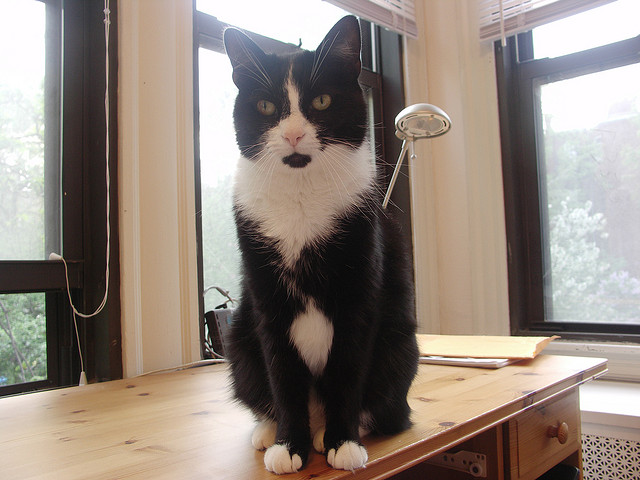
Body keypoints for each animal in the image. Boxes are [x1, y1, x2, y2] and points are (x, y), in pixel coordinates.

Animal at [222, 15, 419, 474]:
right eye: (265, 107)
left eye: (323, 100)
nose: (294, 134)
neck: (300, 194)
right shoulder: (266, 300)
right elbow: (283, 373)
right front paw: (288, 444)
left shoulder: (359, 294)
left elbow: (346, 370)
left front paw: (342, 442)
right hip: (239, 340)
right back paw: (270, 430)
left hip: (400, 345)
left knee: (386, 407)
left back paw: (331, 431)